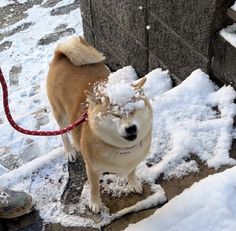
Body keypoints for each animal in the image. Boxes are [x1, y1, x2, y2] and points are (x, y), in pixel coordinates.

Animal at [47, 35, 152, 213]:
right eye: (115, 114)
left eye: (133, 111)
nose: (131, 127)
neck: (122, 149)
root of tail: (60, 54)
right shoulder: (93, 169)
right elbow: (94, 188)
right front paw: (95, 204)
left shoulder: (133, 160)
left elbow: (131, 171)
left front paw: (133, 183)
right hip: (60, 113)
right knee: (63, 133)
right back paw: (70, 151)